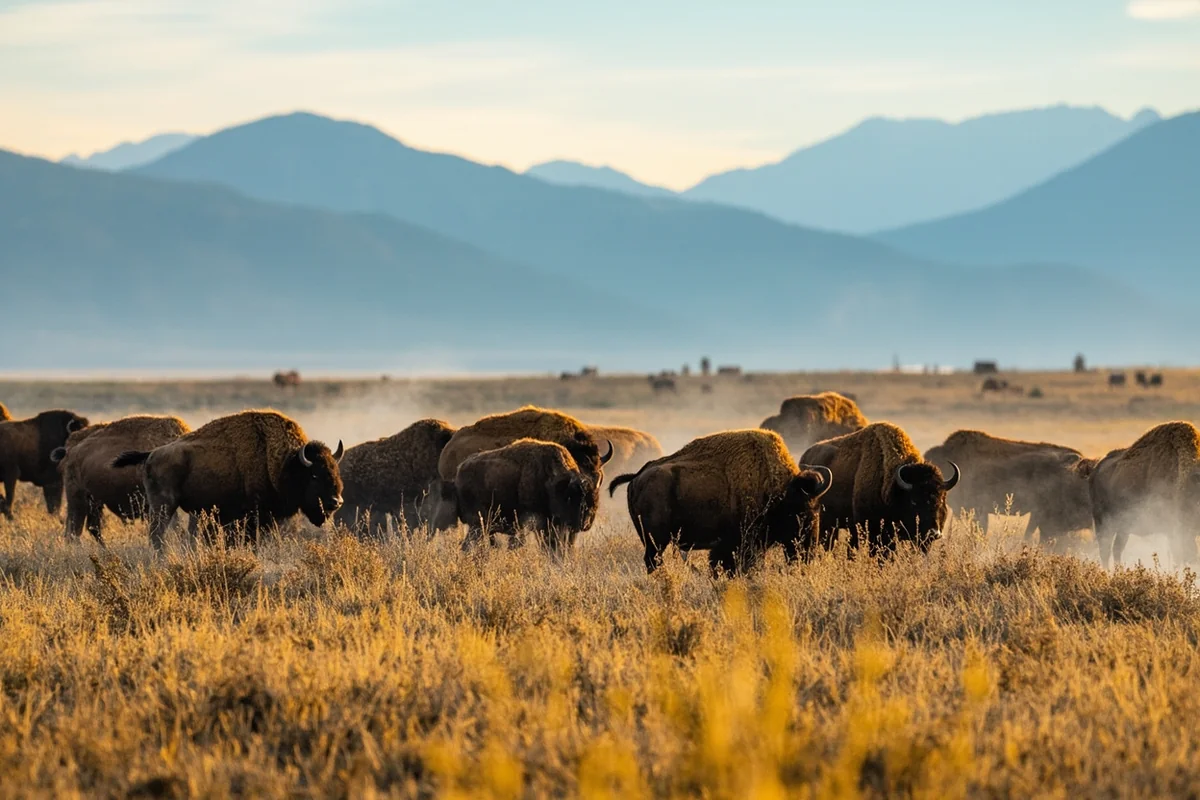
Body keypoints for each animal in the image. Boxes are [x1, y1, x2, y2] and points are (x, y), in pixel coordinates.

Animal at [112, 410, 343, 550]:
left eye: (335, 471)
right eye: (315, 475)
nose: (336, 501)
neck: (284, 462)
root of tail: (152, 453)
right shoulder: (250, 518)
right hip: (163, 505)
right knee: (157, 534)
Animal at [608, 429, 831, 574]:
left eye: (817, 509)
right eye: (799, 511)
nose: (808, 551)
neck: (777, 493)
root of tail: (638, 476)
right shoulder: (738, 544)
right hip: (656, 540)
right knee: (653, 561)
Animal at [801, 422, 958, 558]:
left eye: (941, 499)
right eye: (914, 501)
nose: (934, 533)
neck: (894, 487)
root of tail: (805, 456)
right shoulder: (877, 534)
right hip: (825, 525)